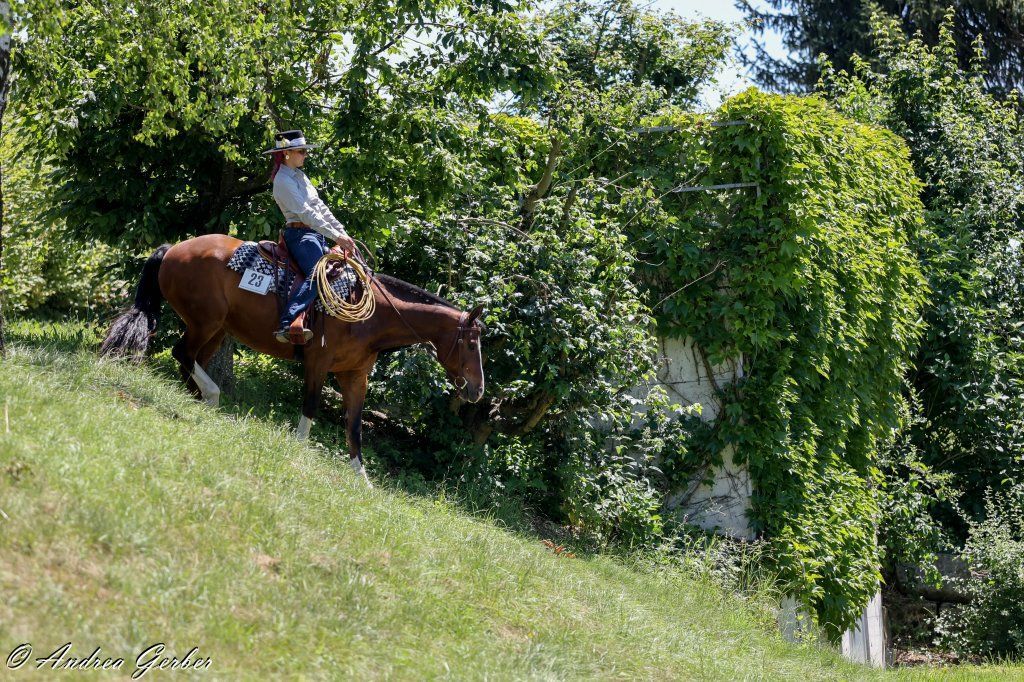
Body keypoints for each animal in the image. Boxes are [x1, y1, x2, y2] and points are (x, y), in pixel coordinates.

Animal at [99, 234, 485, 486]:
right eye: (471, 343)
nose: (478, 391)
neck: (373, 315)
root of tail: (175, 249)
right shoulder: (317, 363)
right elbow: (311, 407)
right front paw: (298, 450)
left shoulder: (355, 376)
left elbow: (355, 427)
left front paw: (363, 481)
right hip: (204, 322)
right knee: (183, 354)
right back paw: (211, 397)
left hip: (217, 329)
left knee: (191, 360)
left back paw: (197, 402)